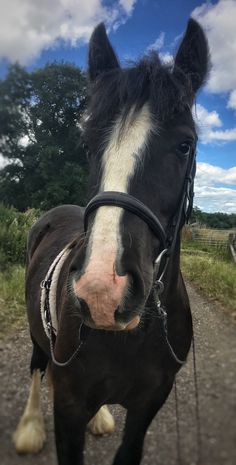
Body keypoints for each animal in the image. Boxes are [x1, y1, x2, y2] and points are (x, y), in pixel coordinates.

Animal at [12, 18, 208, 464]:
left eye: (185, 144)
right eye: (87, 144)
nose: (102, 290)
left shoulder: (149, 405)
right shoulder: (68, 407)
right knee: (36, 366)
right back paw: (29, 428)